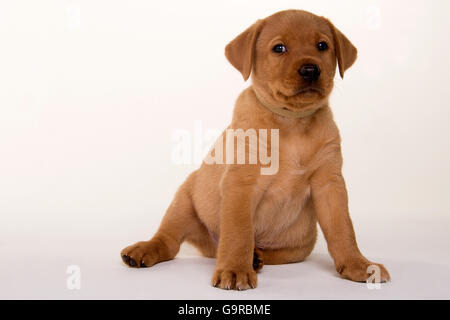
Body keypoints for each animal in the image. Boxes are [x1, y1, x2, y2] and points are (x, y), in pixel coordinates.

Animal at [121, 9, 388, 290]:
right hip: (183, 201)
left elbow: (343, 228)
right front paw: (235, 270)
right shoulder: (241, 182)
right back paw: (144, 250)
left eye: (322, 46)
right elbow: (239, 232)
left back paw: (256, 257)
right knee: (169, 241)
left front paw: (358, 264)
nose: (310, 69)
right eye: (279, 48)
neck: (291, 123)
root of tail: (209, 247)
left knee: (263, 250)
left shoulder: (330, 184)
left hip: (296, 249)